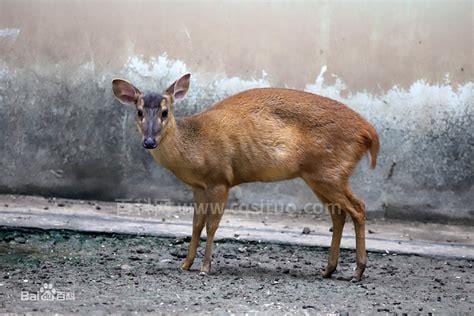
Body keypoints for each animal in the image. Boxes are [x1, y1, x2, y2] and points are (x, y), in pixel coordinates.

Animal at [111, 74, 378, 282]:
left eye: (165, 112)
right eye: (139, 112)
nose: (149, 141)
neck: (194, 148)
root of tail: (369, 134)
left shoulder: (220, 179)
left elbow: (212, 225)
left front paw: (205, 267)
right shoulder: (198, 186)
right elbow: (196, 224)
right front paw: (186, 264)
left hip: (330, 172)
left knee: (358, 208)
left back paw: (357, 271)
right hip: (319, 176)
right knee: (339, 213)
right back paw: (328, 269)